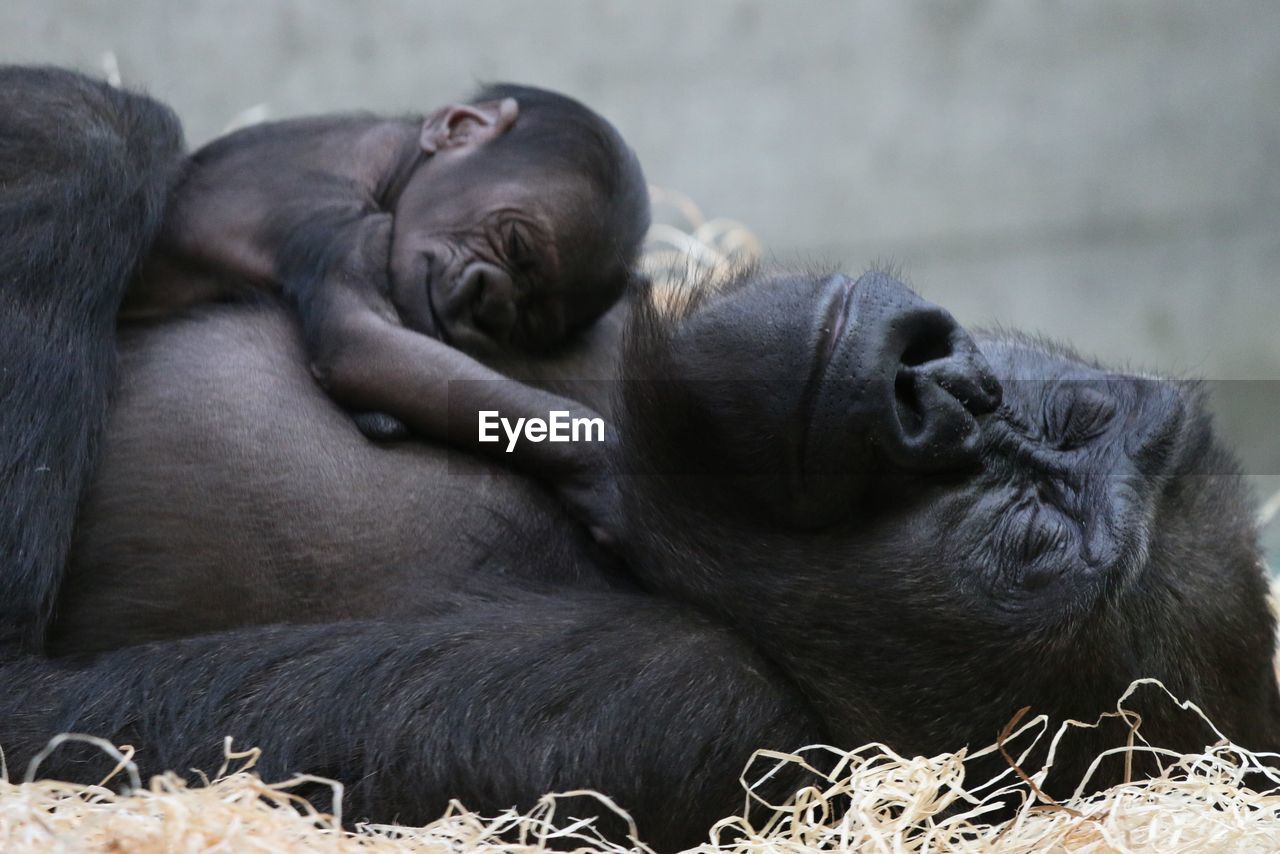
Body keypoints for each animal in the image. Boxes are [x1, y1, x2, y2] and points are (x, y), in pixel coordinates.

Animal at [126, 87, 650, 540]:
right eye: (517, 244)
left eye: (528, 320)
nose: (492, 304)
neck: (396, 163)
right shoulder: (326, 206)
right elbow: (363, 342)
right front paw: (606, 469)